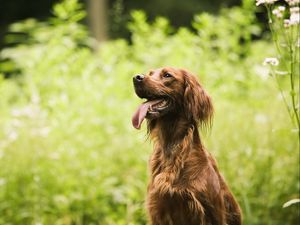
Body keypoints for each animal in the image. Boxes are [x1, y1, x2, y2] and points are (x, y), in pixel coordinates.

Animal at [131, 67, 241, 225]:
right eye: (151, 73)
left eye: (167, 75)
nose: (136, 77)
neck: (172, 148)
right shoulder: (158, 210)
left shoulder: (211, 213)